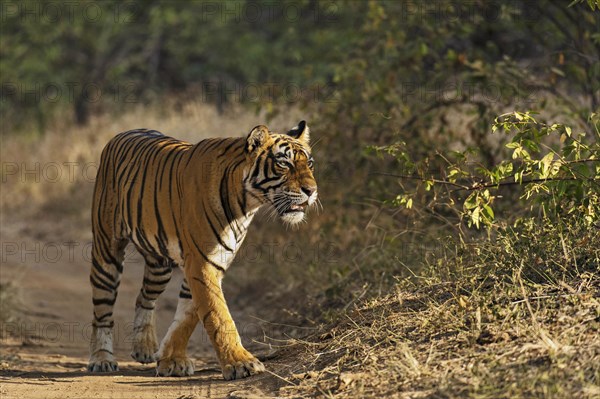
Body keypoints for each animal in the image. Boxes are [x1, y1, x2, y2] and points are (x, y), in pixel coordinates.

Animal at [89, 122, 318, 382]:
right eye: (284, 164)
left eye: (310, 164)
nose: (312, 191)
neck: (247, 205)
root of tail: (123, 133)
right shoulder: (202, 263)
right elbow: (218, 315)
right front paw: (241, 363)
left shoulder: (211, 263)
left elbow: (188, 316)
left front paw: (172, 360)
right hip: (107, 252)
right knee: (102, 311)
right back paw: (102, 359)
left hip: (159, 266)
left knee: (144, 298)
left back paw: (144, 348)